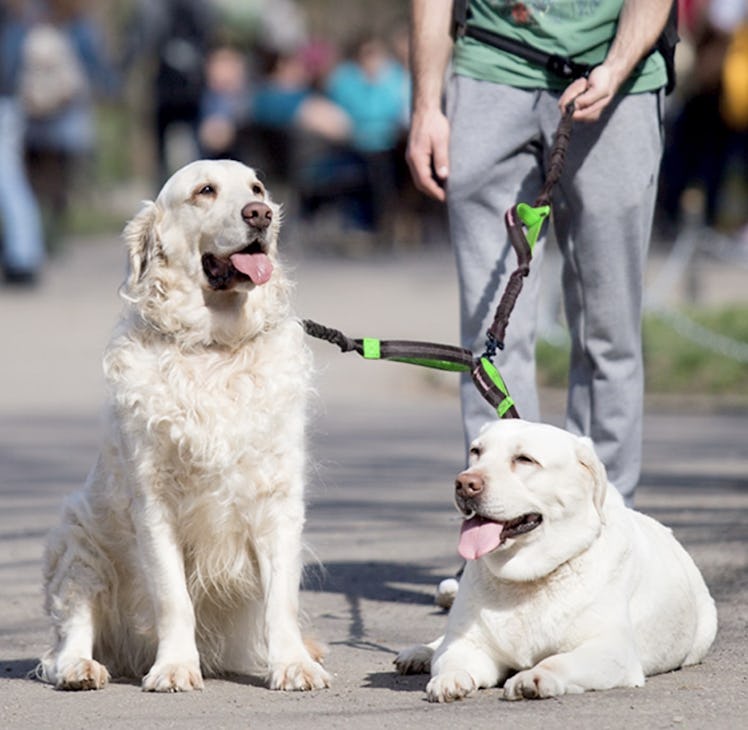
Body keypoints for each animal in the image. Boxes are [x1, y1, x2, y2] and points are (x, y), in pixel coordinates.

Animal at [38, 158, 328, 688]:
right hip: (76, 542)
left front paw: (294, 664)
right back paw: (80, 668)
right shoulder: (154, 504)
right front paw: (174, 667)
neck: (214, 346)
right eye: (204, 191)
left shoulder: (278, 500)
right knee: (69, 634)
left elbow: (282, 601)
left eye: (257, 188)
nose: (260, 214)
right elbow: (174, 599)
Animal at [398, 420, 720, 700]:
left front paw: (534, 677)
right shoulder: (468, 643)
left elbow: (558, 661)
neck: (526, 581)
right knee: (441, 642)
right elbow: (452, 658)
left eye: (525, 459)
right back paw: (420, 653)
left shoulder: (611, 650)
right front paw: (448, 679)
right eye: (476, 452)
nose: (464, 483)